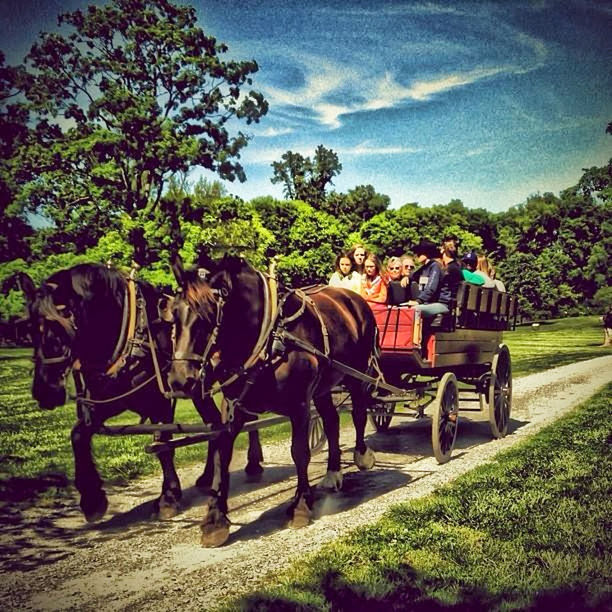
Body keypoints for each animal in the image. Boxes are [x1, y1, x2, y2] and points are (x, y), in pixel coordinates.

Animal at [17, 262, 262, 520]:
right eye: (30, 330)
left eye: (59, 327)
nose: (44, 392)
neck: (129, 335)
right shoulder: (108, 402)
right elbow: (78, 435)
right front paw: (92, 499)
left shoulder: (159, 404)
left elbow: (163, 446)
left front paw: (168, 497)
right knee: (216, 424)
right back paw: (209, 476)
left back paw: (253, 463)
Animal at [167, 253, 378, 544]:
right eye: (173, 314)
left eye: (208, 315)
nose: (180, 380)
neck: (268, 337)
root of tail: (353, 299)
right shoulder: (233, 405)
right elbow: (222, 454)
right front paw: (214, 519)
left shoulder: (299, 404)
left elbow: (299, 452)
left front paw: (300, 506)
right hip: (324, 387)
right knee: (332, 421)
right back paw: (333, 472)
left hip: (356, 374)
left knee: (358, 412)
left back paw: (362, 455)